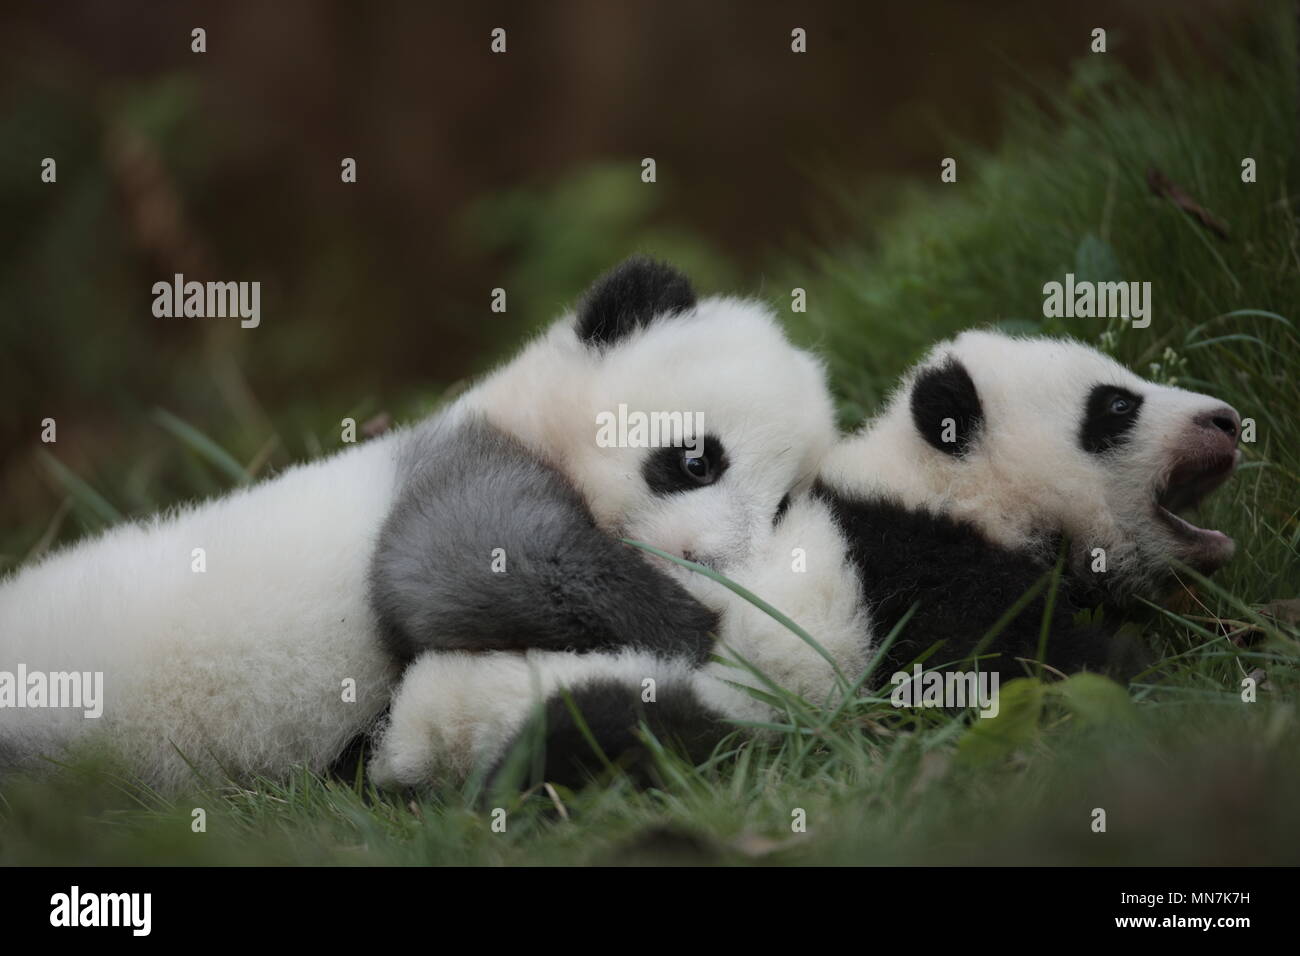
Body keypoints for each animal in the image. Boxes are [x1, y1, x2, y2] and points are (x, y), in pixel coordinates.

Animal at [0, 257, 837, 793]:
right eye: (695, 459)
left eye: (779, 507)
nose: (710, 562)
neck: (525, 414)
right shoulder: (458, 462)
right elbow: (443, 566)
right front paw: (699, 624)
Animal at [367, 329, 1242, 792]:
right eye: (1116, 405)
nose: (1228, 419)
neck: (947, 487)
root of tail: (412, 736)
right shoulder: (905, 566)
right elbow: (1004, 655)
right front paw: (1141, 670)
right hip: (635, 686)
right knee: (612, 730)